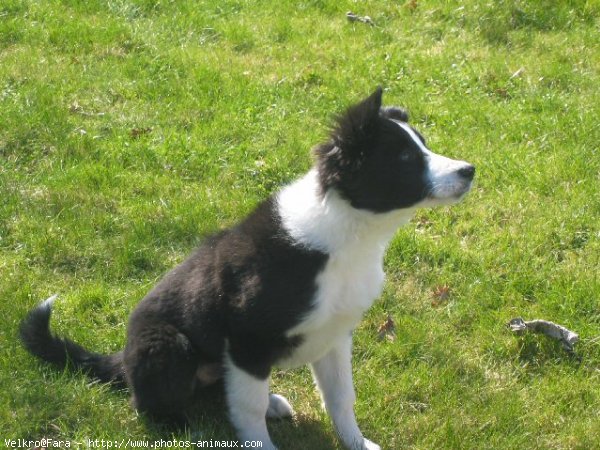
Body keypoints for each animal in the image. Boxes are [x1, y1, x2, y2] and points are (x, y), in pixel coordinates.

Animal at [21, 89, 474, 450]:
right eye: (405, 156)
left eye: (423, 146)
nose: (469, 170)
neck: (348, 233)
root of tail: (123, 359)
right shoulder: (246, 338)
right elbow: (248, 408)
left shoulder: (336, 334)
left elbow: (341, 397)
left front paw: (357, 443)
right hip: (168, 344)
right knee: (153, 402)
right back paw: (178, 426)